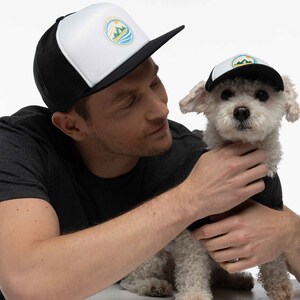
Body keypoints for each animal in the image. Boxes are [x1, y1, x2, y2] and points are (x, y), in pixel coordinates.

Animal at [120, 54, 300, 300]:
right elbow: (193, 265)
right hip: (153, 254)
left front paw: (281, 288)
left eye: (262, 94)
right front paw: (195, 294)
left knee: (215, 274)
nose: (241, 111)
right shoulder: (194, 227)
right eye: (226, 94)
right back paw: (153, 285)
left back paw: (236, 279)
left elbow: (273, 258)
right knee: (130, 280)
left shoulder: (270, 214)